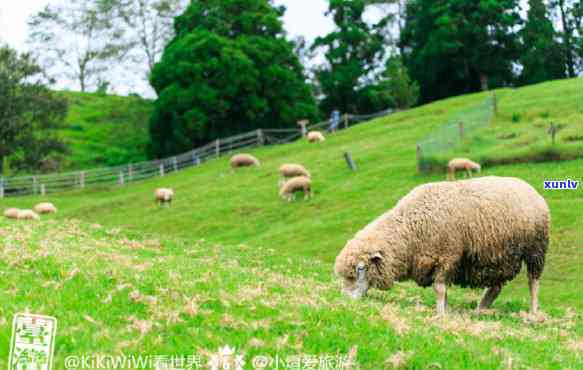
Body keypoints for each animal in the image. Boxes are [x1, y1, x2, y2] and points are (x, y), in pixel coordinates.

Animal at [336, 176, 548, 316]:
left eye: (361, 268)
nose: (345, 300)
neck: (410, 230)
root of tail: (528, 187)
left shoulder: (447, 257)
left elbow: (439, 289)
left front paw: (440, 314)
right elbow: (442, 291)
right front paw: (445, 310)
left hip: (535, 249)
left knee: (533, 282)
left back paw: (533, 313)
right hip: (497, 255)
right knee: (496, 286)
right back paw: (480, 309)